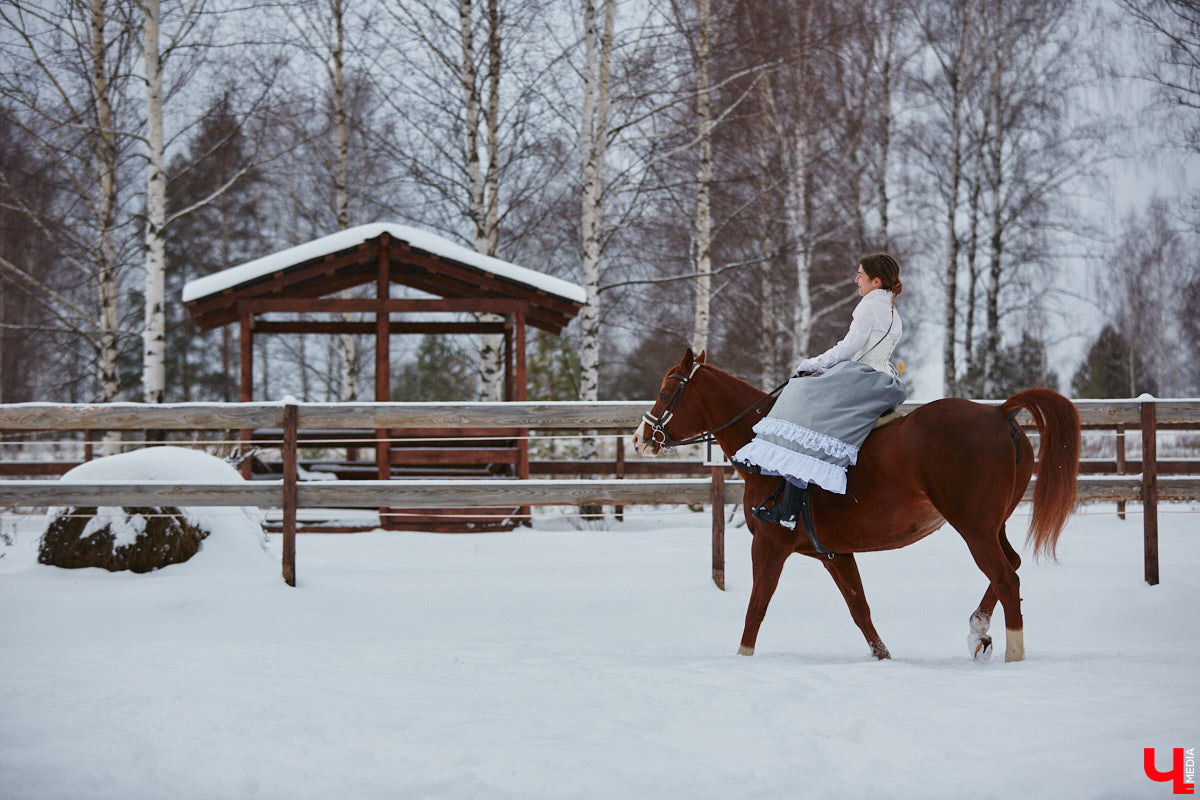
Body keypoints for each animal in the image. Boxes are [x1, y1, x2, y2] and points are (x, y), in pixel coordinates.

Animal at [633, 350, 1084, 662]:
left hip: (974, 528)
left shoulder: (769, 545)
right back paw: (979, 631)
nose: (640, 439)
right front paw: (884, 658)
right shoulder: (835, 553)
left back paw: (1012, 655)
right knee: (1010, 568)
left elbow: (756, 609)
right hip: (992, 526)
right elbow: (859, 609)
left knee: (1008, 579)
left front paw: (742, 660)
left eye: (666, 391)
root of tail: (1000, 412)